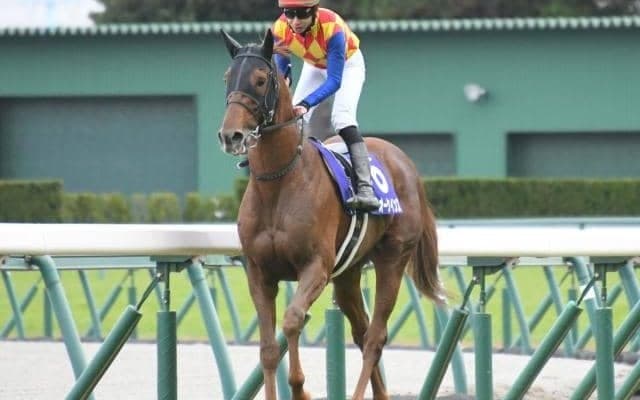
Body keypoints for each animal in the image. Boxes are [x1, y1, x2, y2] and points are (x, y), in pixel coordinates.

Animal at [218, 29, 445, 400]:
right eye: (227, 78)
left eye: (261, 79)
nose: (230, 135)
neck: (279, 184)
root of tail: (405, 163)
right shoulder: (259, 272)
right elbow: (268, 349)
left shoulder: (316, 266)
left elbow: (292, 320)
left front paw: (300, 389)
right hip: (348, 273)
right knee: (362, 331)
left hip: (393, 258)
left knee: (375, 337)